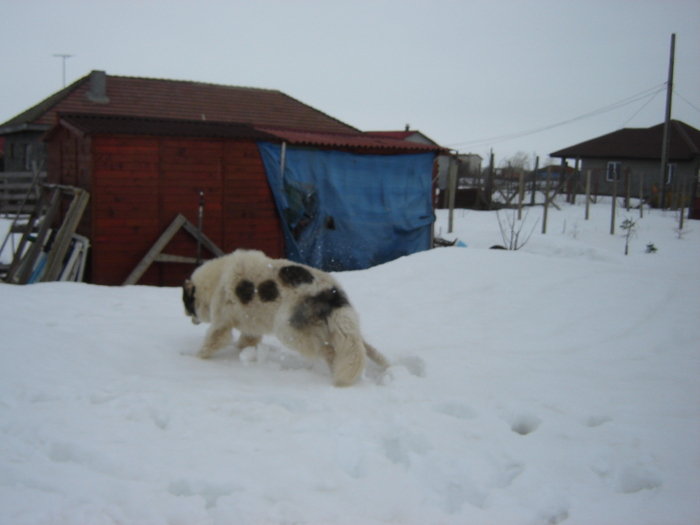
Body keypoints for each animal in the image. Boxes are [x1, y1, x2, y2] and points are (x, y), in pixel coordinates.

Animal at [183, 250, 388, 384]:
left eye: (187, 304)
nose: (188, 317)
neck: (217, 280)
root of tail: (329, 290)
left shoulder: (221, 323)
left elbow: (211, 341)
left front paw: (195, 358)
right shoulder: (250, 325)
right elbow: (247, 340)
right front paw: (242, 350)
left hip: (287, 330)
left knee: (327, 350)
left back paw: (334, 372)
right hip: (337, 326)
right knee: (363, 347)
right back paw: (384, 366)